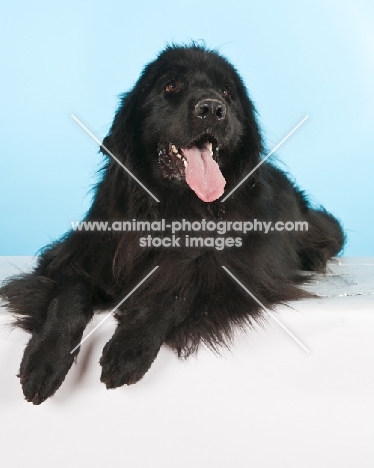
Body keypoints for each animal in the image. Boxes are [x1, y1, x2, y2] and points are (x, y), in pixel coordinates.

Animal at [0, 43, 344, 402]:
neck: (175, 208)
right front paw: (43, 362)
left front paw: (128, 348)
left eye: (227, 92)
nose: (212, 108)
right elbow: (68, 295)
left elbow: (177, 291)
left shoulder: (239, 271)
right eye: (170, 86)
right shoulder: (78, 254)